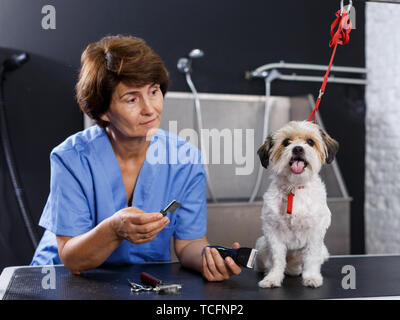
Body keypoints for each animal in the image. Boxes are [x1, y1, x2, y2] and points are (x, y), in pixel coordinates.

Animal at [256, 120, 338, 288]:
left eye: (310, 142)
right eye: (286, 142)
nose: (298, 148)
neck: (294, 187)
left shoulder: (315, 233)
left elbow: (311, 258)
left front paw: (311, 277)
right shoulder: (273, 233)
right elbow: (277, 259)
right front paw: (273, 278)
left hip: (323, 251)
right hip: (261, 247)